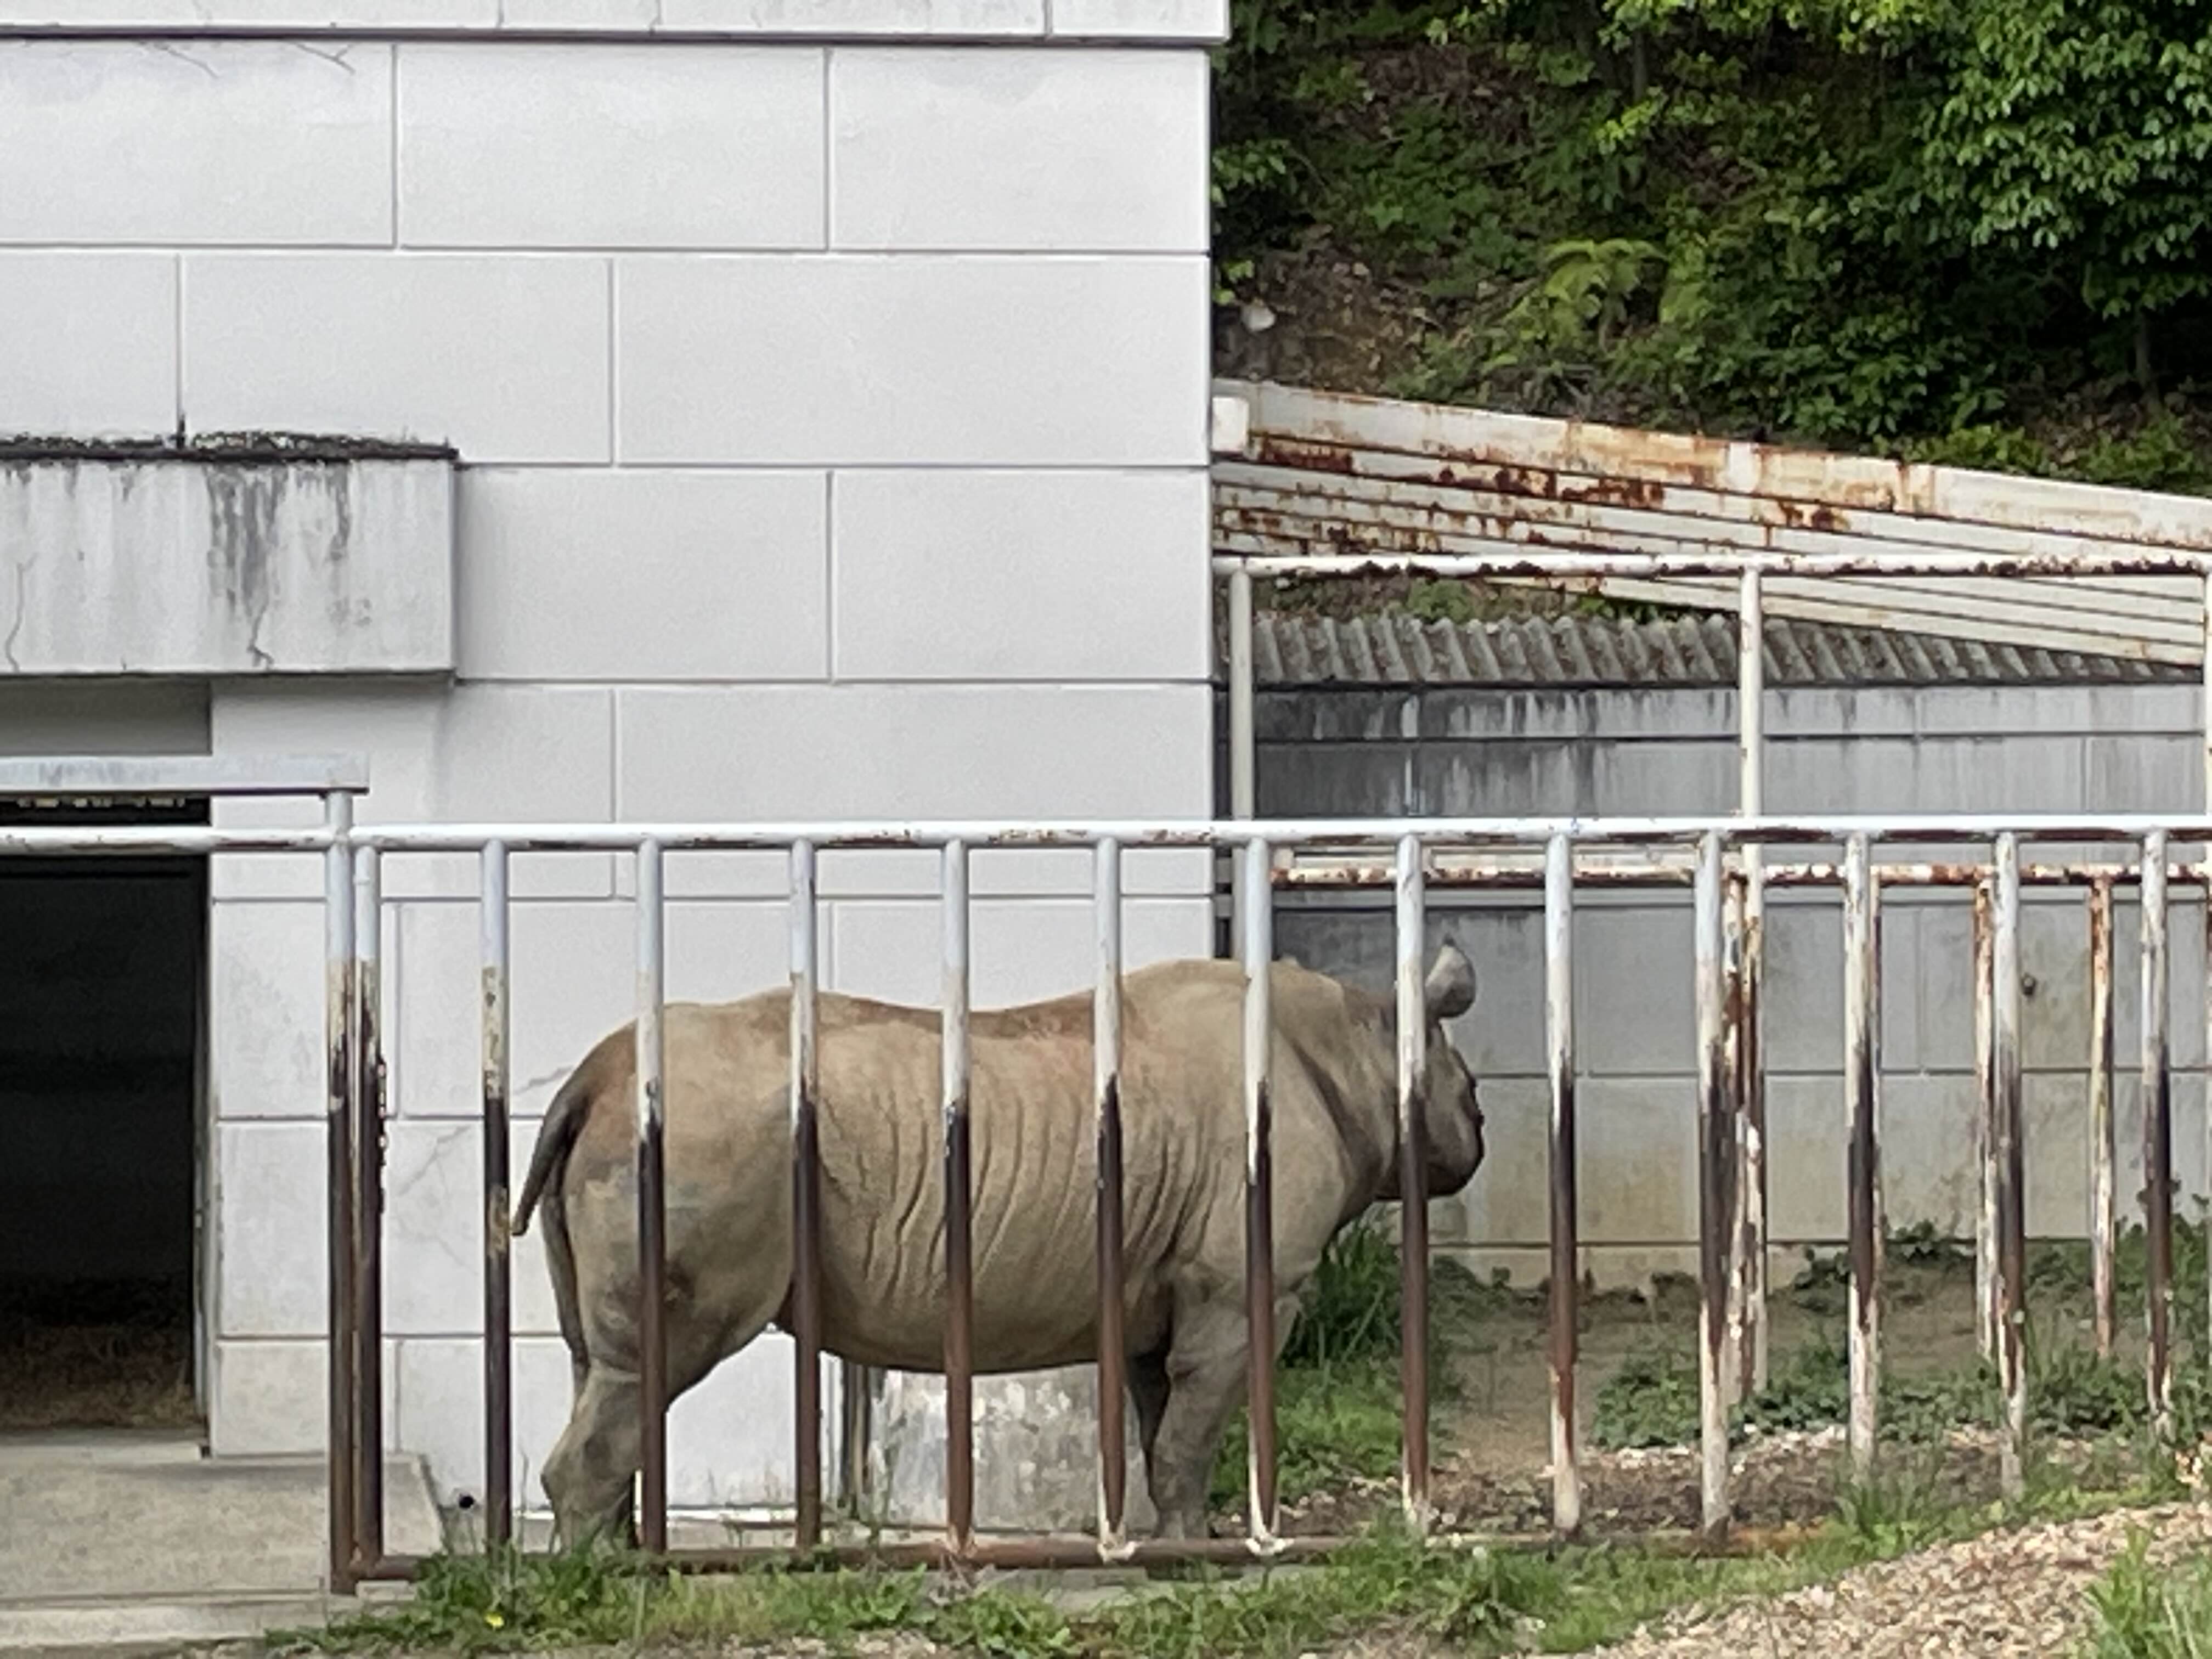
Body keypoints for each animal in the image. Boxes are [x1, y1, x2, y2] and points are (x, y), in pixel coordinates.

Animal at [511, 944, 1485, 1547]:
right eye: (1473, 1093)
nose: (1475, 1141)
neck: (1363, 1037)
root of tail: (590, 1079)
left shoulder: (1163, 1285)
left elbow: (1161, 1420)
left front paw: (1180, 1544)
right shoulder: (1244, 1283)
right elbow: (1193, 1426)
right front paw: (1196, 1553)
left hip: (650, 1143)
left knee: (605, 1367)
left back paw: (622, 1562)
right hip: (701, 1143)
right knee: (656, 1363)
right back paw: (604, 1580)